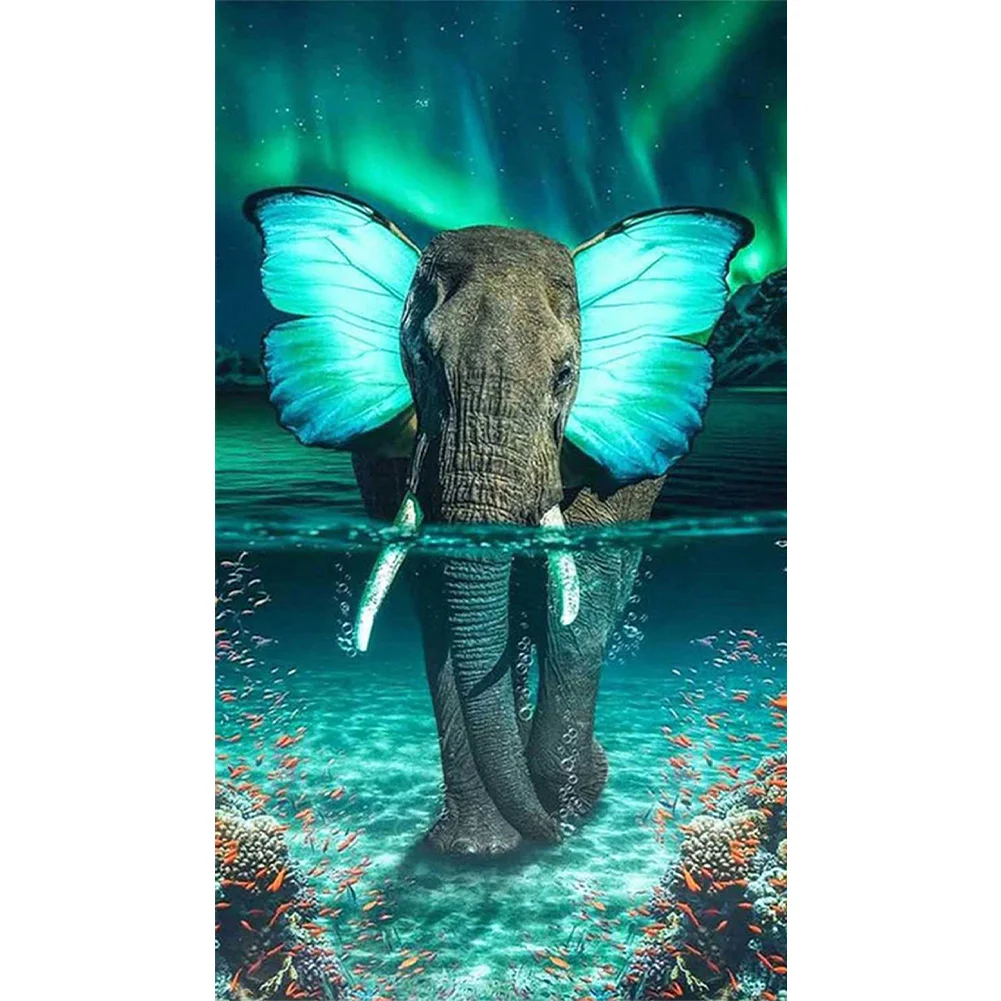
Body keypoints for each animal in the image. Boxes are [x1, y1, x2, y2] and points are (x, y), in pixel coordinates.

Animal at [244, 188, 753, 855]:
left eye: (565, 374)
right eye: (422, 363)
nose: (556, 837)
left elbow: (580, 607)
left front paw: (567, 797)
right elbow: (439, 605)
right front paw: (477, 852)